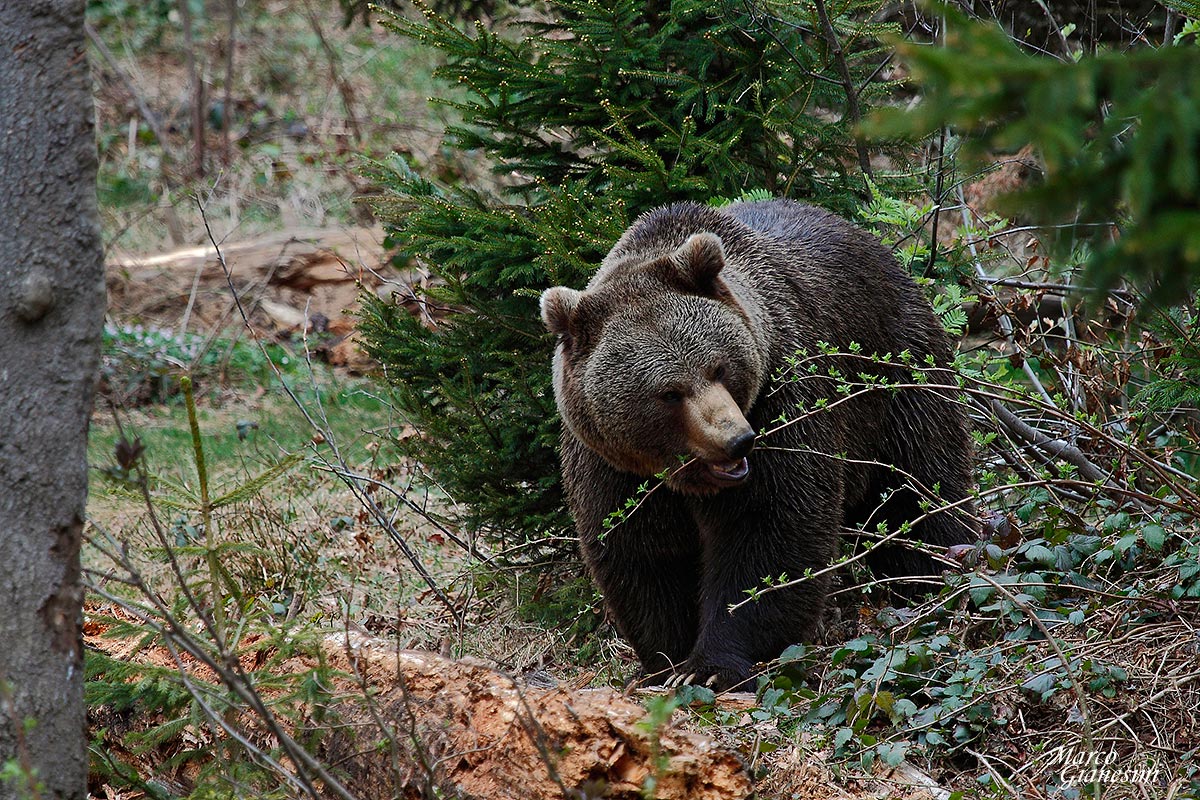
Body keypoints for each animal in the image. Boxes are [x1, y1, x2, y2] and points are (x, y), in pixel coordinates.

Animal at [540, 199, 977, 690]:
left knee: (919, 487)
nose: (737, 440)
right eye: (669, 392)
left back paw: (938, 578)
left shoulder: (782, 401)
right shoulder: (611, 465)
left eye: (718, 367)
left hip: (894, 371)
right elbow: (641, 552)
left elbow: (769, 531)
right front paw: (668, 660)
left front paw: (710, 665)